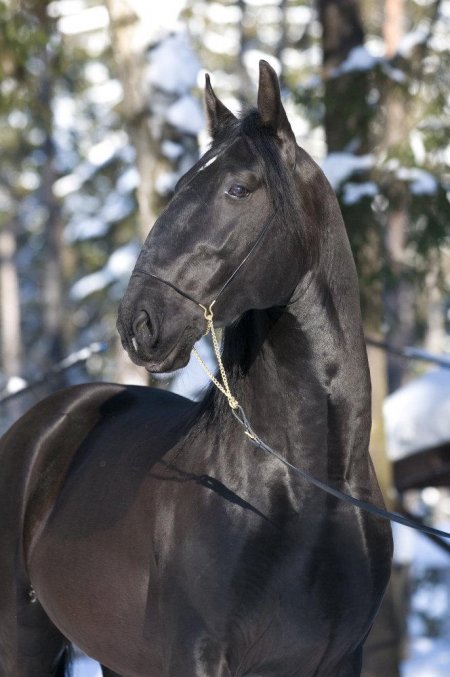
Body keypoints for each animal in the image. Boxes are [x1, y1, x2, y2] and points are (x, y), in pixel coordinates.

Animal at [0, 60, 390, 672]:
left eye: (239, 188)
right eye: (182, 184)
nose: (139, 322)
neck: (310, 492)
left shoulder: (342, 659)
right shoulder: (197, 655)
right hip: (22, 639)